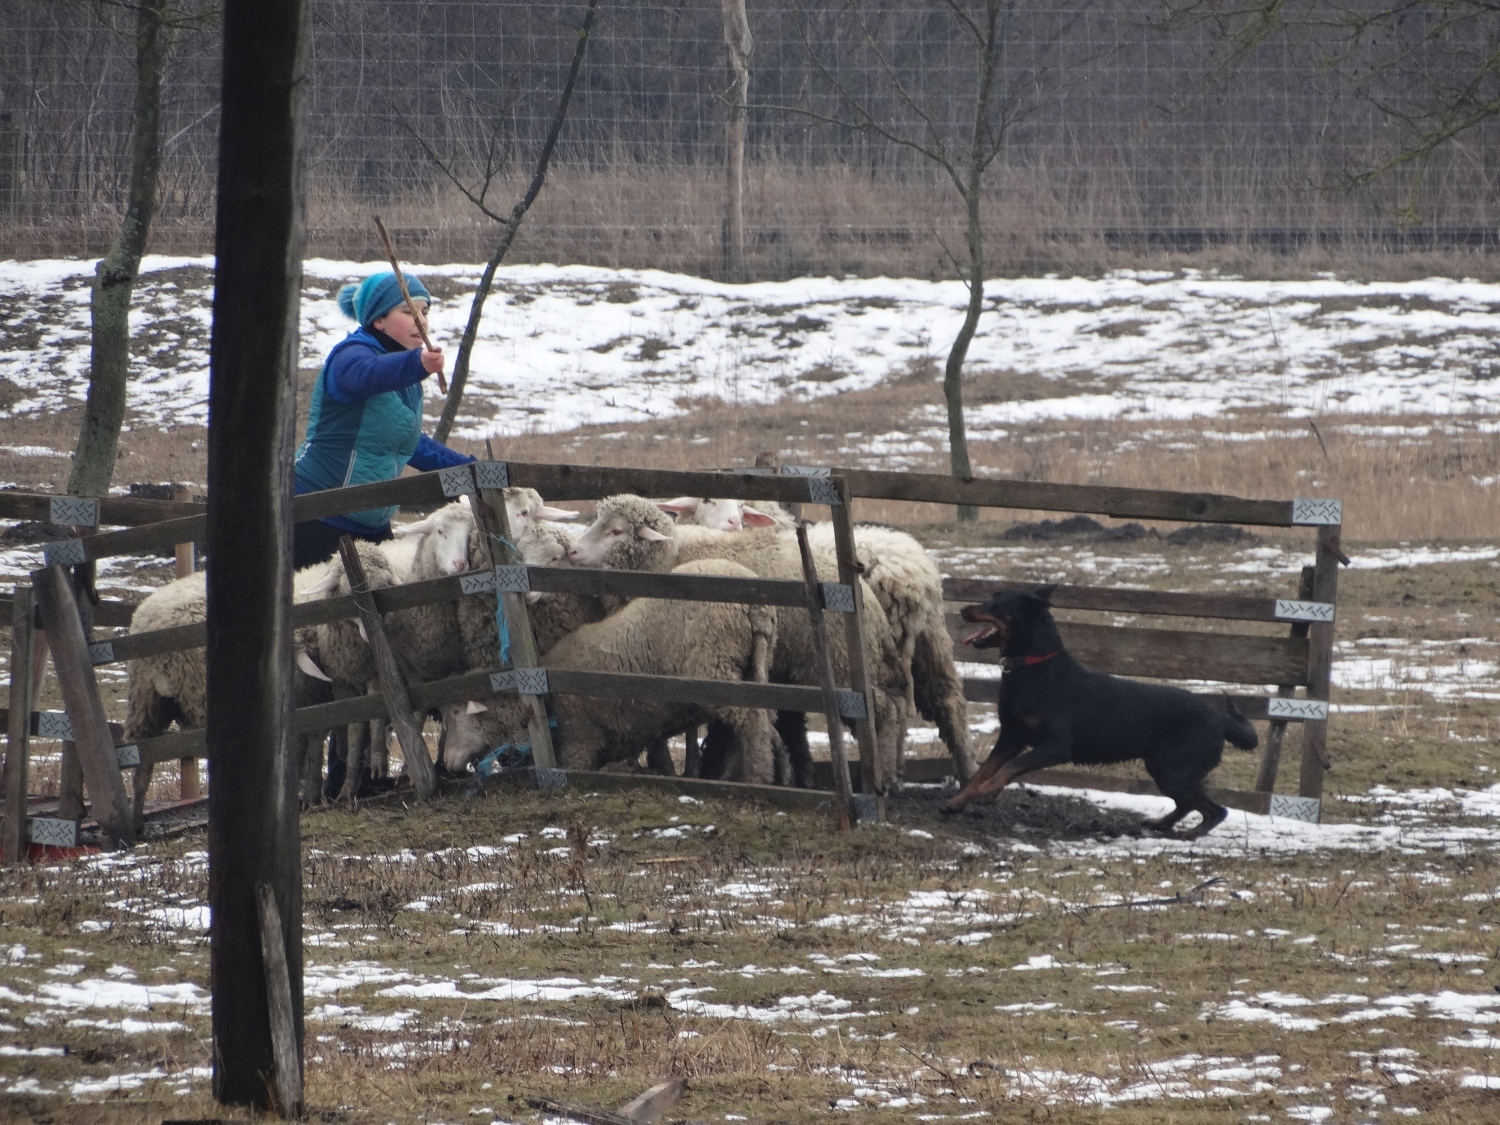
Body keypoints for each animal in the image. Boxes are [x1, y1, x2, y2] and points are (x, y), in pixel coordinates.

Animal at [948, 591, 1254, 840]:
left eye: (996, 603)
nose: (963, 609)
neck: (1035, 669)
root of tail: (1222, 719)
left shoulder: (1055, 747)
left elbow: (1007, 769)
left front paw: (986, 792)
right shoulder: (1011, 737)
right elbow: (983, 770)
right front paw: (958, 801)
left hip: (1174, 770)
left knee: (1215, 810)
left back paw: (1191, 834)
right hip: (1163, 768)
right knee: (1189, 803)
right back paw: (1161, 824)